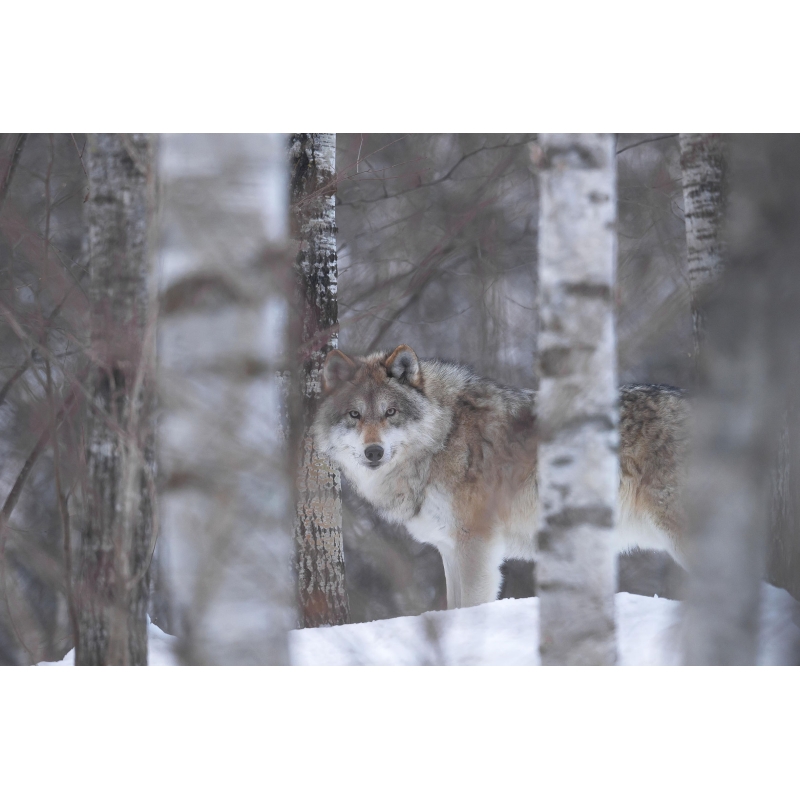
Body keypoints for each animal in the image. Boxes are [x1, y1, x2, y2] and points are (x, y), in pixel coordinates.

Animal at [313, 344, 688, 610]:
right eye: (355, 415)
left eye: (390, 412)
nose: (373, 452)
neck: (443, 438)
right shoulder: (449, 547)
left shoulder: (476, 543)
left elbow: (470, 607)